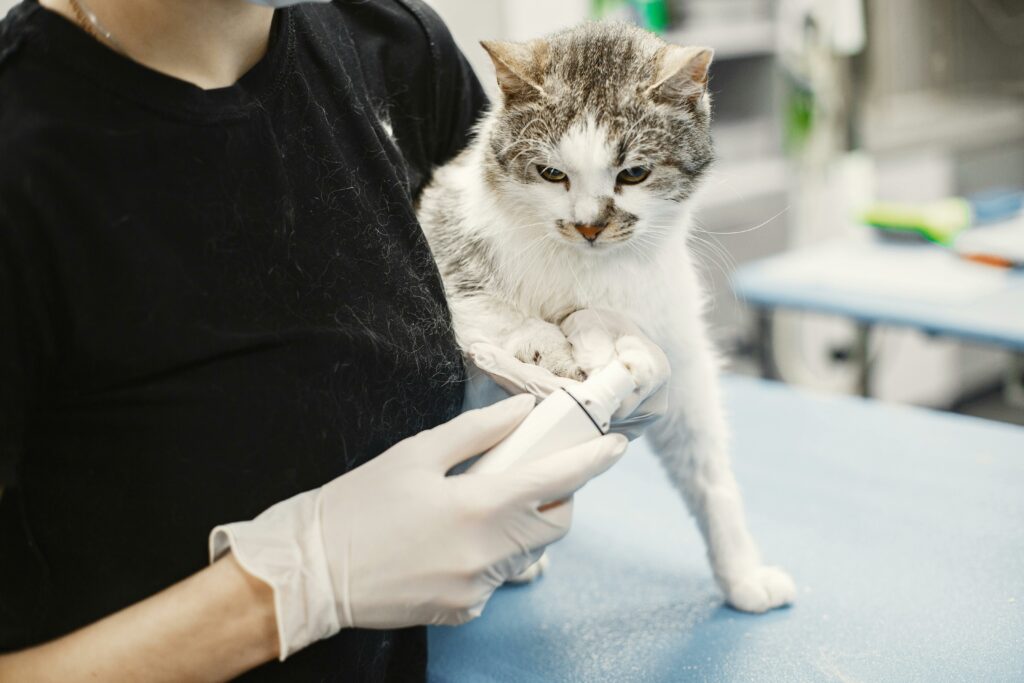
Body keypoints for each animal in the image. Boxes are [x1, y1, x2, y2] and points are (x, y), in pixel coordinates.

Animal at [413, 21, 790, 614]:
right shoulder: (444, 234)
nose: (589, 225)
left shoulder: (679, 350)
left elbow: (707, 467)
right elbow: (494, 309)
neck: (591, 271)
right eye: (551, 174)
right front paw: (554, 350)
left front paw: (742, 572)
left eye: (633, 173)